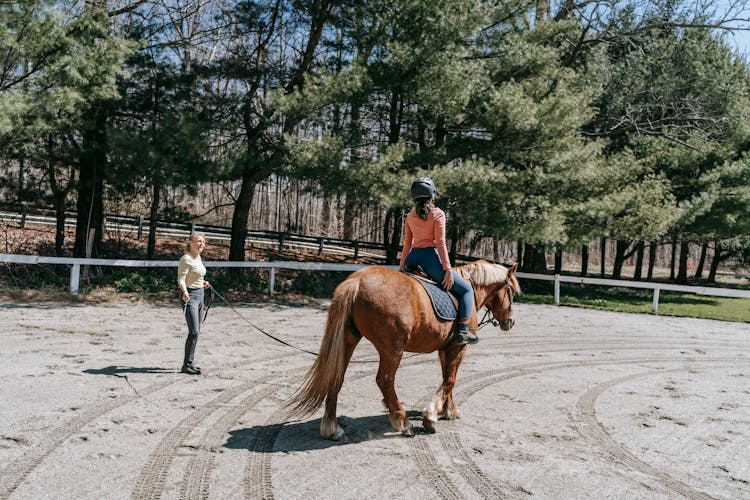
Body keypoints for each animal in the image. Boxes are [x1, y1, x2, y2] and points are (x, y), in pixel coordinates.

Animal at [284, 260, 520, 440]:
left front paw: (448, 410)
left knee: (337, 377)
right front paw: (431, 415)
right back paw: (403, 421)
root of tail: (356, 281)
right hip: (392, 349)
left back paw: (333, 428)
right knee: (385, 380)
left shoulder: (445, 348)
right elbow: (450, 380)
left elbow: (447, 378)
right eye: (511, 291)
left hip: (348, 340)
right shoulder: (458, 347)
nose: (511, 322)